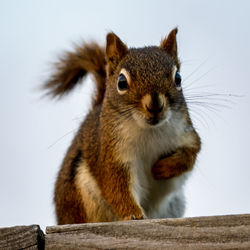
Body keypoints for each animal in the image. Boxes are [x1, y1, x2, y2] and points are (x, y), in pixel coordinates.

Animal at [44, 27, 201, 225]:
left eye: (178, 78)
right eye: (122, 82)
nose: (155, 105)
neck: (149, 130)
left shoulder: (186, 133)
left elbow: (191, 154)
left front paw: (164, 168)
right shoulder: (112, 156)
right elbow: (117, 187)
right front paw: (133, 214)